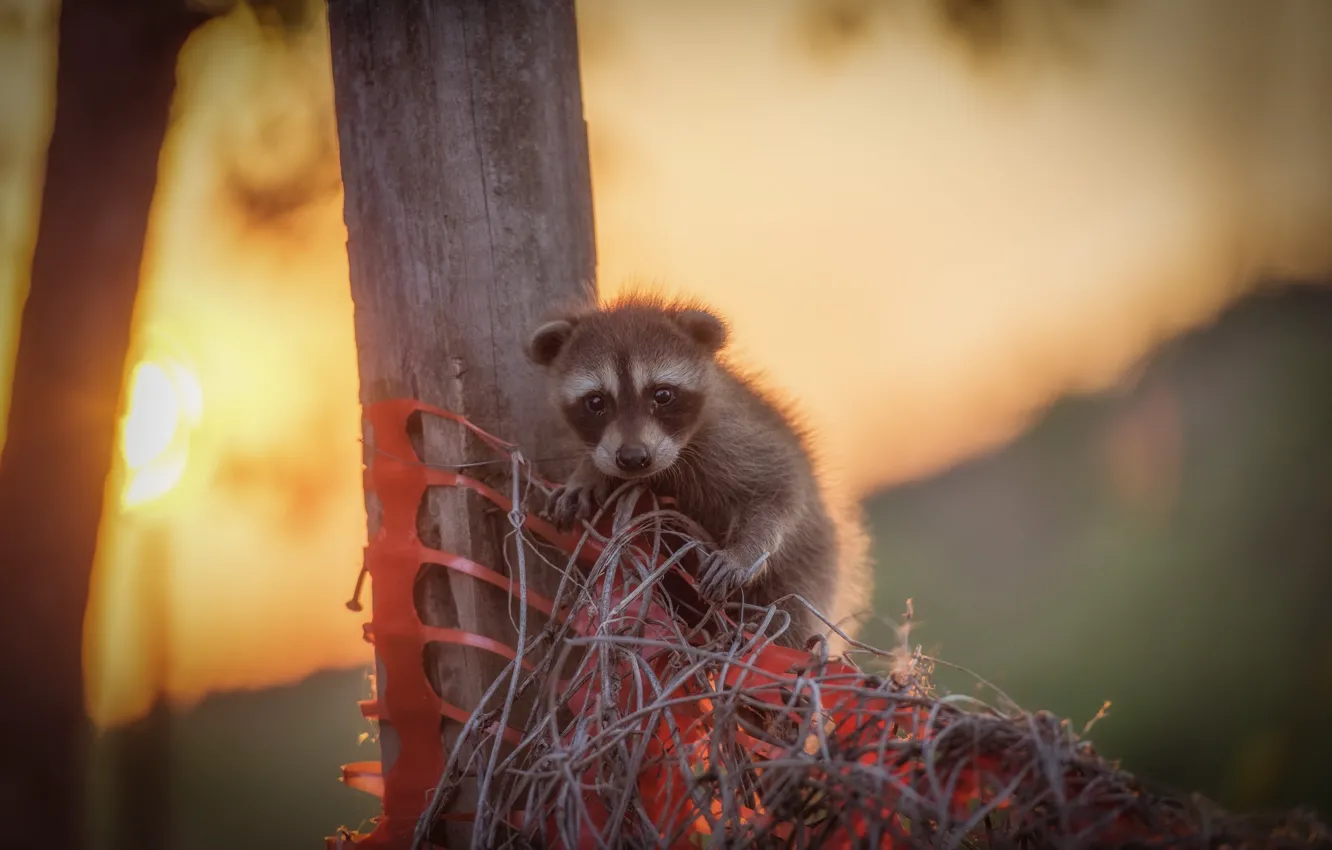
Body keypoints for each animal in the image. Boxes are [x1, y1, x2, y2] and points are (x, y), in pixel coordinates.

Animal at [524, 294, 868, 652]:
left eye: (662, 395)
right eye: (595, 402)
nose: (633, 458)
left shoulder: (736, 437)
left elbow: (780, 489)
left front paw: (743, 551)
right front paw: (587, 473)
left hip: (809, 569)